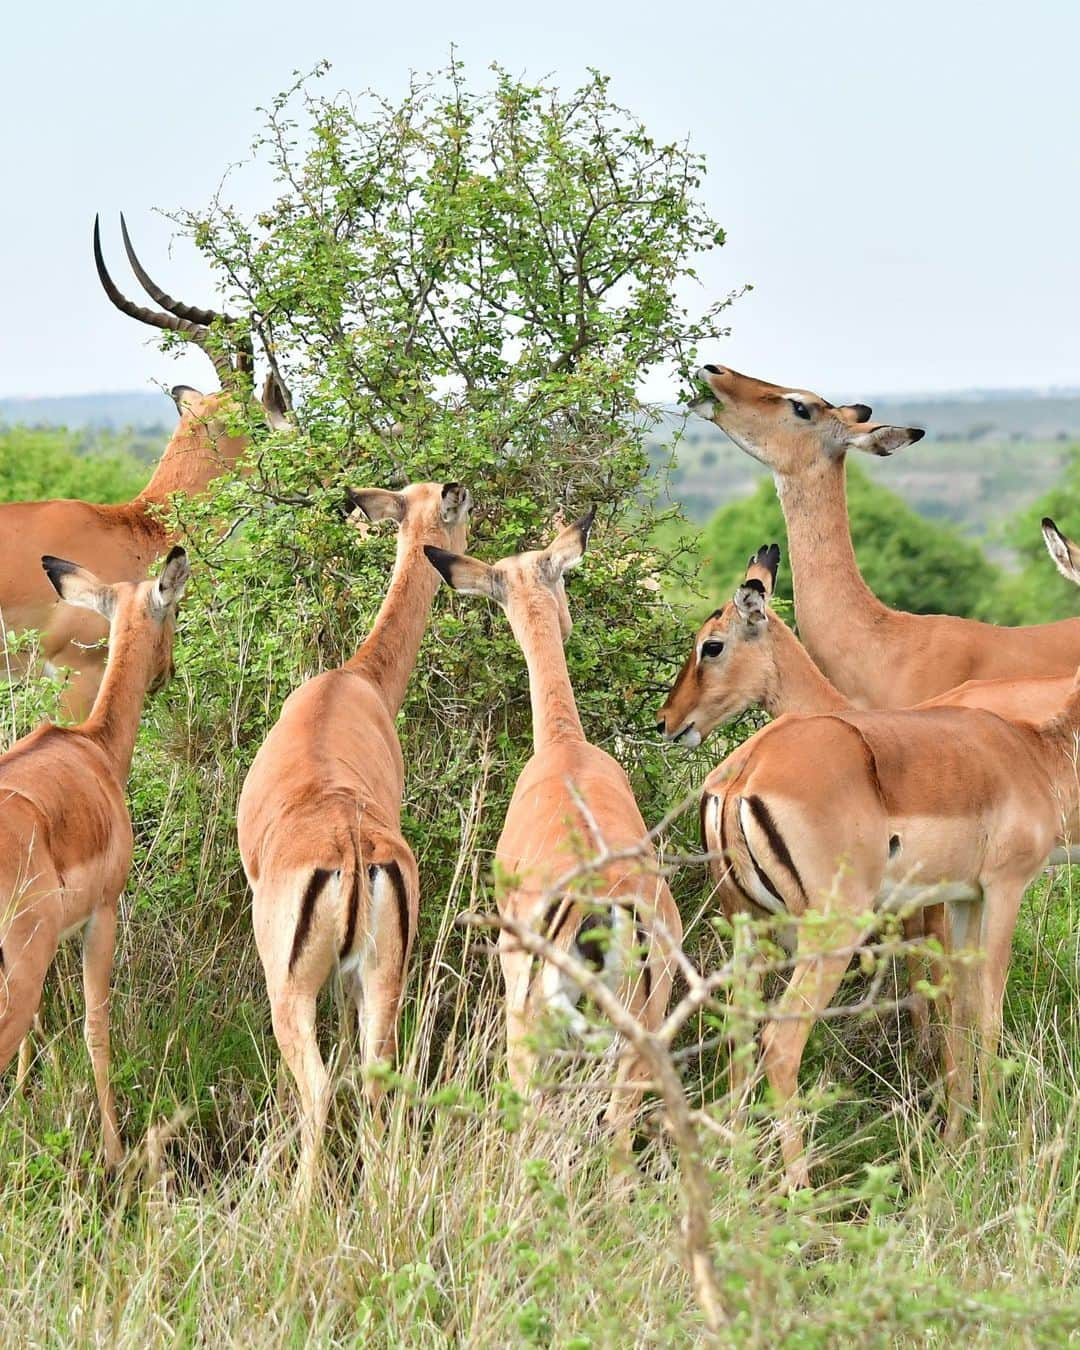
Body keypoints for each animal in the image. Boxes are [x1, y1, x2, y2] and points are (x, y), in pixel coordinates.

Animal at [0, 548, 190, 1161]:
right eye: (172, 613)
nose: (167, 672)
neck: (96, 750)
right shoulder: (102, 915)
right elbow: (95, 1028)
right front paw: (113, 1150)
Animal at [236, 480, 467, 1188]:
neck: (355, 681)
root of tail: (353, 847)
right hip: (384, 977)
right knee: (372, 1080)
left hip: (290, 991)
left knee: (318, 1087)